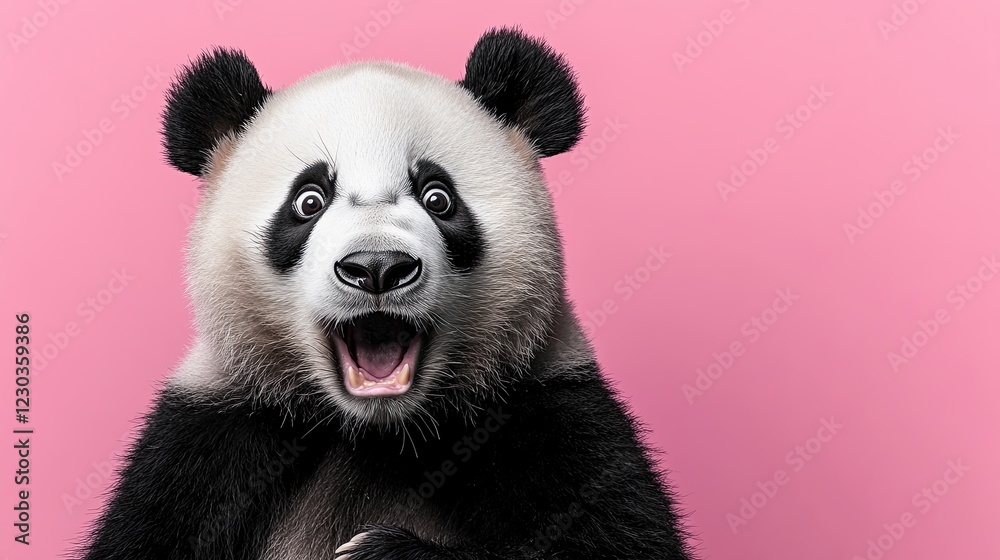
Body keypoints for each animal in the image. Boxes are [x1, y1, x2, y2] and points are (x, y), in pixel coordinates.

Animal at [81, 28, 694, 560]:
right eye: (308, 201)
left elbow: (618, 538)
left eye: (438, 198)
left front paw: (381, 550)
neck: (379, 432)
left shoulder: (546, 411)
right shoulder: (213, 438)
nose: (377, 267)